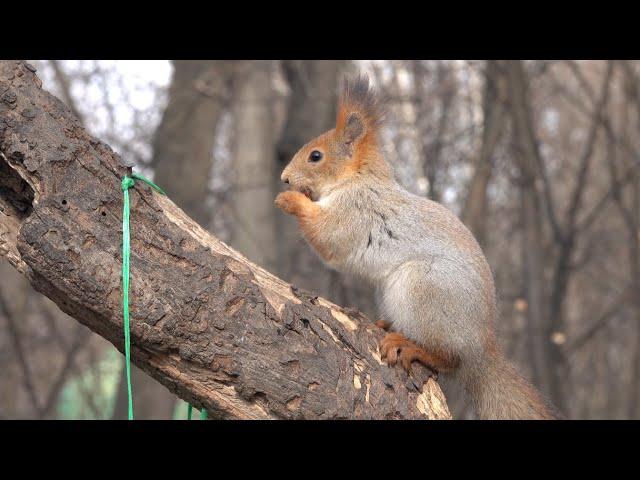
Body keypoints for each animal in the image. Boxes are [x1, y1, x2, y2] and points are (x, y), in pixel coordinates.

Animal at [276, 74, 556, 420]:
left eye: (316, 156)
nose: (285, 178)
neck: (356, 179)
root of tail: (479, 350)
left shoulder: (356, 212)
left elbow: (328, 237)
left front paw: (289, 200)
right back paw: (386, 323)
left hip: (422, 289)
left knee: (449, 359)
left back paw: (411, 345)